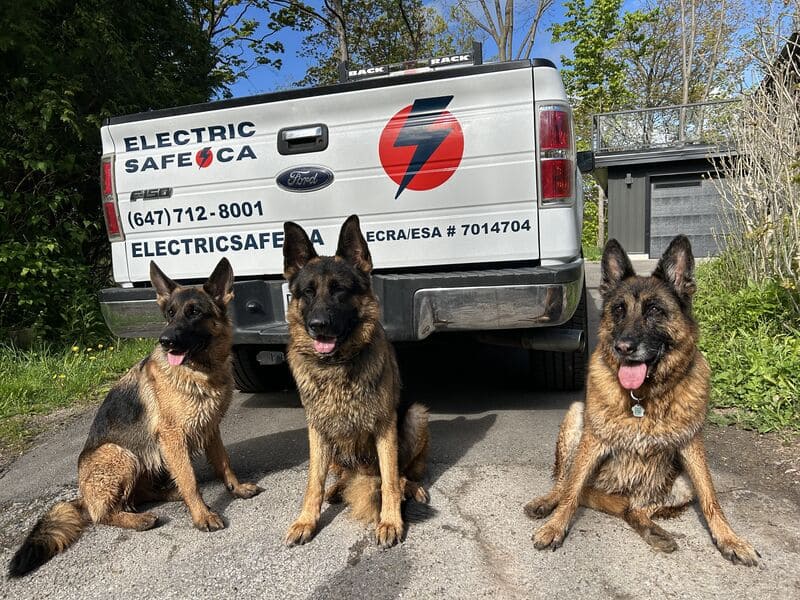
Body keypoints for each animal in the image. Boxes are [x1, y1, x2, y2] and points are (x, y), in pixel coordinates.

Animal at [7, 256, 262, 576]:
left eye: (195, 312)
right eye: (169, 314)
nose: (165, 340)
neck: (200, 371)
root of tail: (82, 498)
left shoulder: (210, 428)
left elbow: (223, 463)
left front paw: (236, 489)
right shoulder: (173, 437)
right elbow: (190, 479)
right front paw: (202, 515)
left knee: (140, 494)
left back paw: (167, 495)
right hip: (120, 454)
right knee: (103, 513)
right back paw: (138, 519)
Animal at [282, 217, 432, 548]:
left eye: (339, 290)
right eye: (307, 292)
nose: (318, 325)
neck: (336, 367)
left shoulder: (385, 427)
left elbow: (389, 481)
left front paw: (390, 521)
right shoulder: (317, 430)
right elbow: (313, 482)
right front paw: (306, 520)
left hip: (416, 415)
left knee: (403, 474)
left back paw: (412, 488)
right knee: (343, 476)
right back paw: (336, 489)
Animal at [520, 237, 760, 564]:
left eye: (655, 310)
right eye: (619, 310)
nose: (623, 347)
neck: (644, 396)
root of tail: (620, 493)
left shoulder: (692, 445)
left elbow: (711, 497)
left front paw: (729, 539)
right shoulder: (593, 440)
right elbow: (571, 491)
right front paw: (555, 527)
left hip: (677, 485)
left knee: (634, 510)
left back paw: (655, 532)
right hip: (576, 417)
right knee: (564, 482)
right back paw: (547, 503)